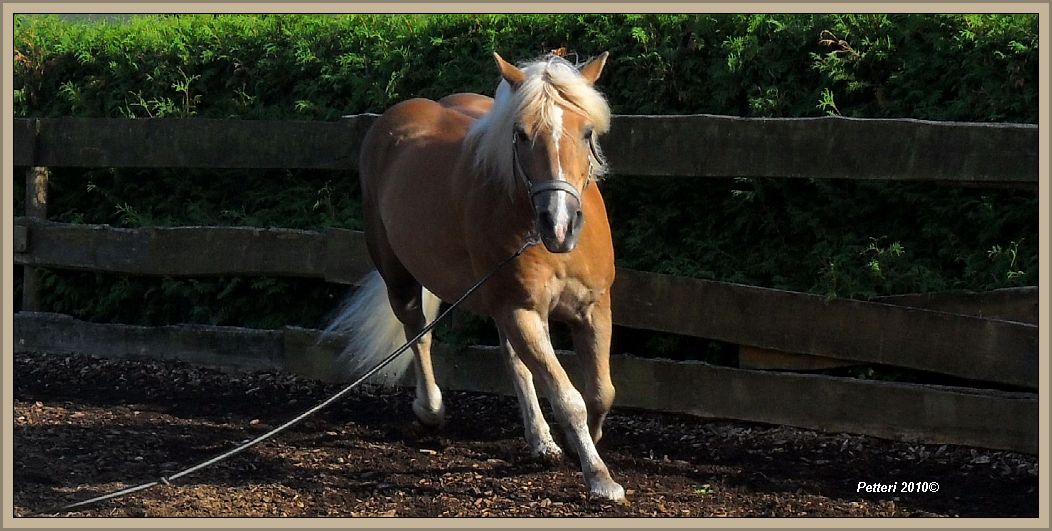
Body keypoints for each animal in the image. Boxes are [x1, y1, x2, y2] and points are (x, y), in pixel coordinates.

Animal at [326, 50, 622, 500]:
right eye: (520, 134)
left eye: (586, 131)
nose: (559, 224)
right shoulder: (520, 310)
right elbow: (568, 396)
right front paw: (600, 478)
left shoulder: (592, 307)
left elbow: (601, 392)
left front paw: (579, 446)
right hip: (401, 277)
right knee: (419, 333)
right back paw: (429, 409)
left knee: (514, 361)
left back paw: (541, 441)